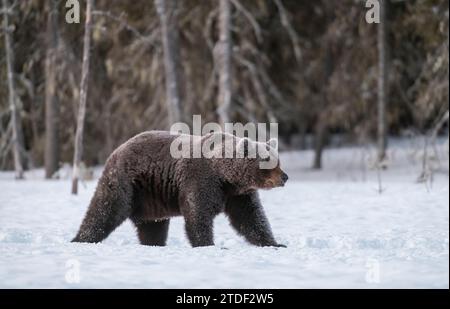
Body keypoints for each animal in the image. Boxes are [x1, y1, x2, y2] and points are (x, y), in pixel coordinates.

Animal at [70, 131, 288, 247]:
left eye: (278, 160)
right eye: (268, 161)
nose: (285, 177)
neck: (226, 176)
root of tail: (117, 150)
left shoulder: (238, 194)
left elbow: (250, 218)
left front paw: (274, 243)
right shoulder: (201, 180)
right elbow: (198, 213)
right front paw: (207, 243)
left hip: (150, 199)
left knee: (152, 226)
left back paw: (154, 243)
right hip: (127, 182)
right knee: (106, 209)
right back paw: (81, 239)